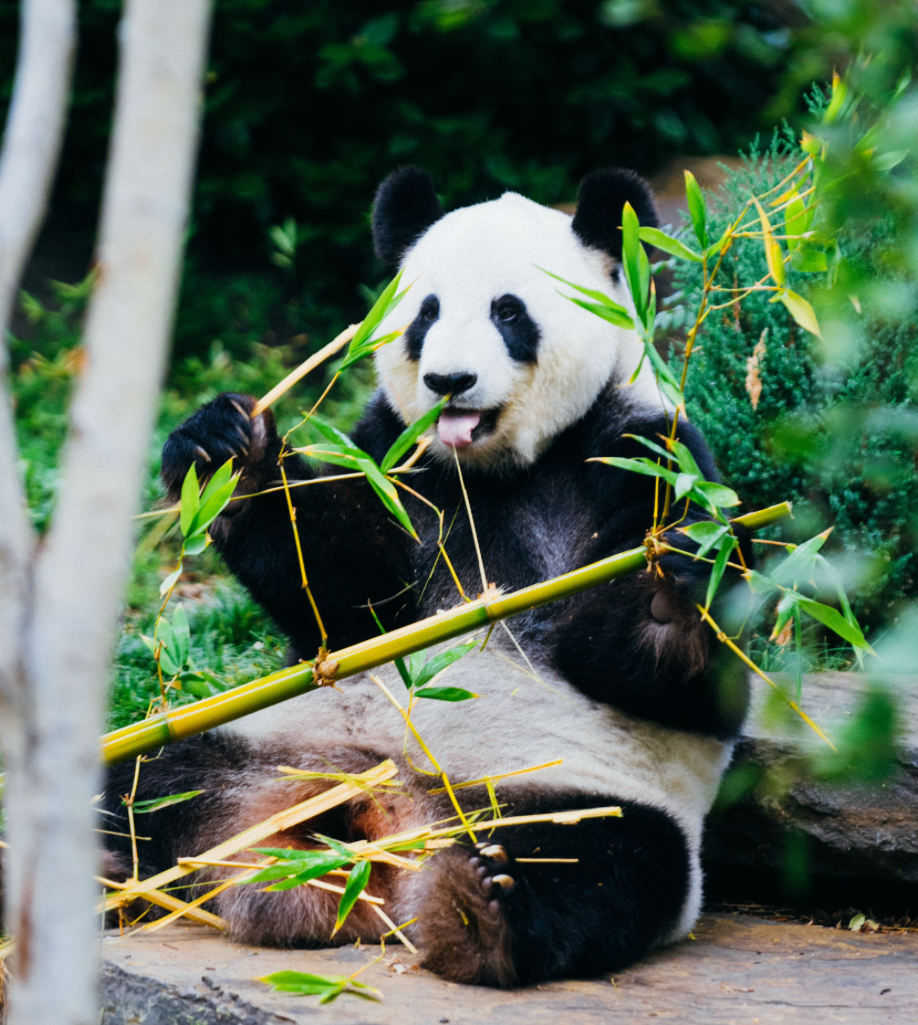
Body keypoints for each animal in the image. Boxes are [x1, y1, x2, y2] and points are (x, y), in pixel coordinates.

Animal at [102, 167, 749, 987]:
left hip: (575, 794)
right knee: (143, 784)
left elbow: (689, 679)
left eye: (509, 311)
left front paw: (666, 584)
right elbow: (347, 596)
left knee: (604, 862)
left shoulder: (646, 451)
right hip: (256, 743)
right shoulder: (399, 461)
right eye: (426, 312)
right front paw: (228, 451)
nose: (448, 381)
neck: (495, 469)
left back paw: (484, 907)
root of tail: (378, 827)